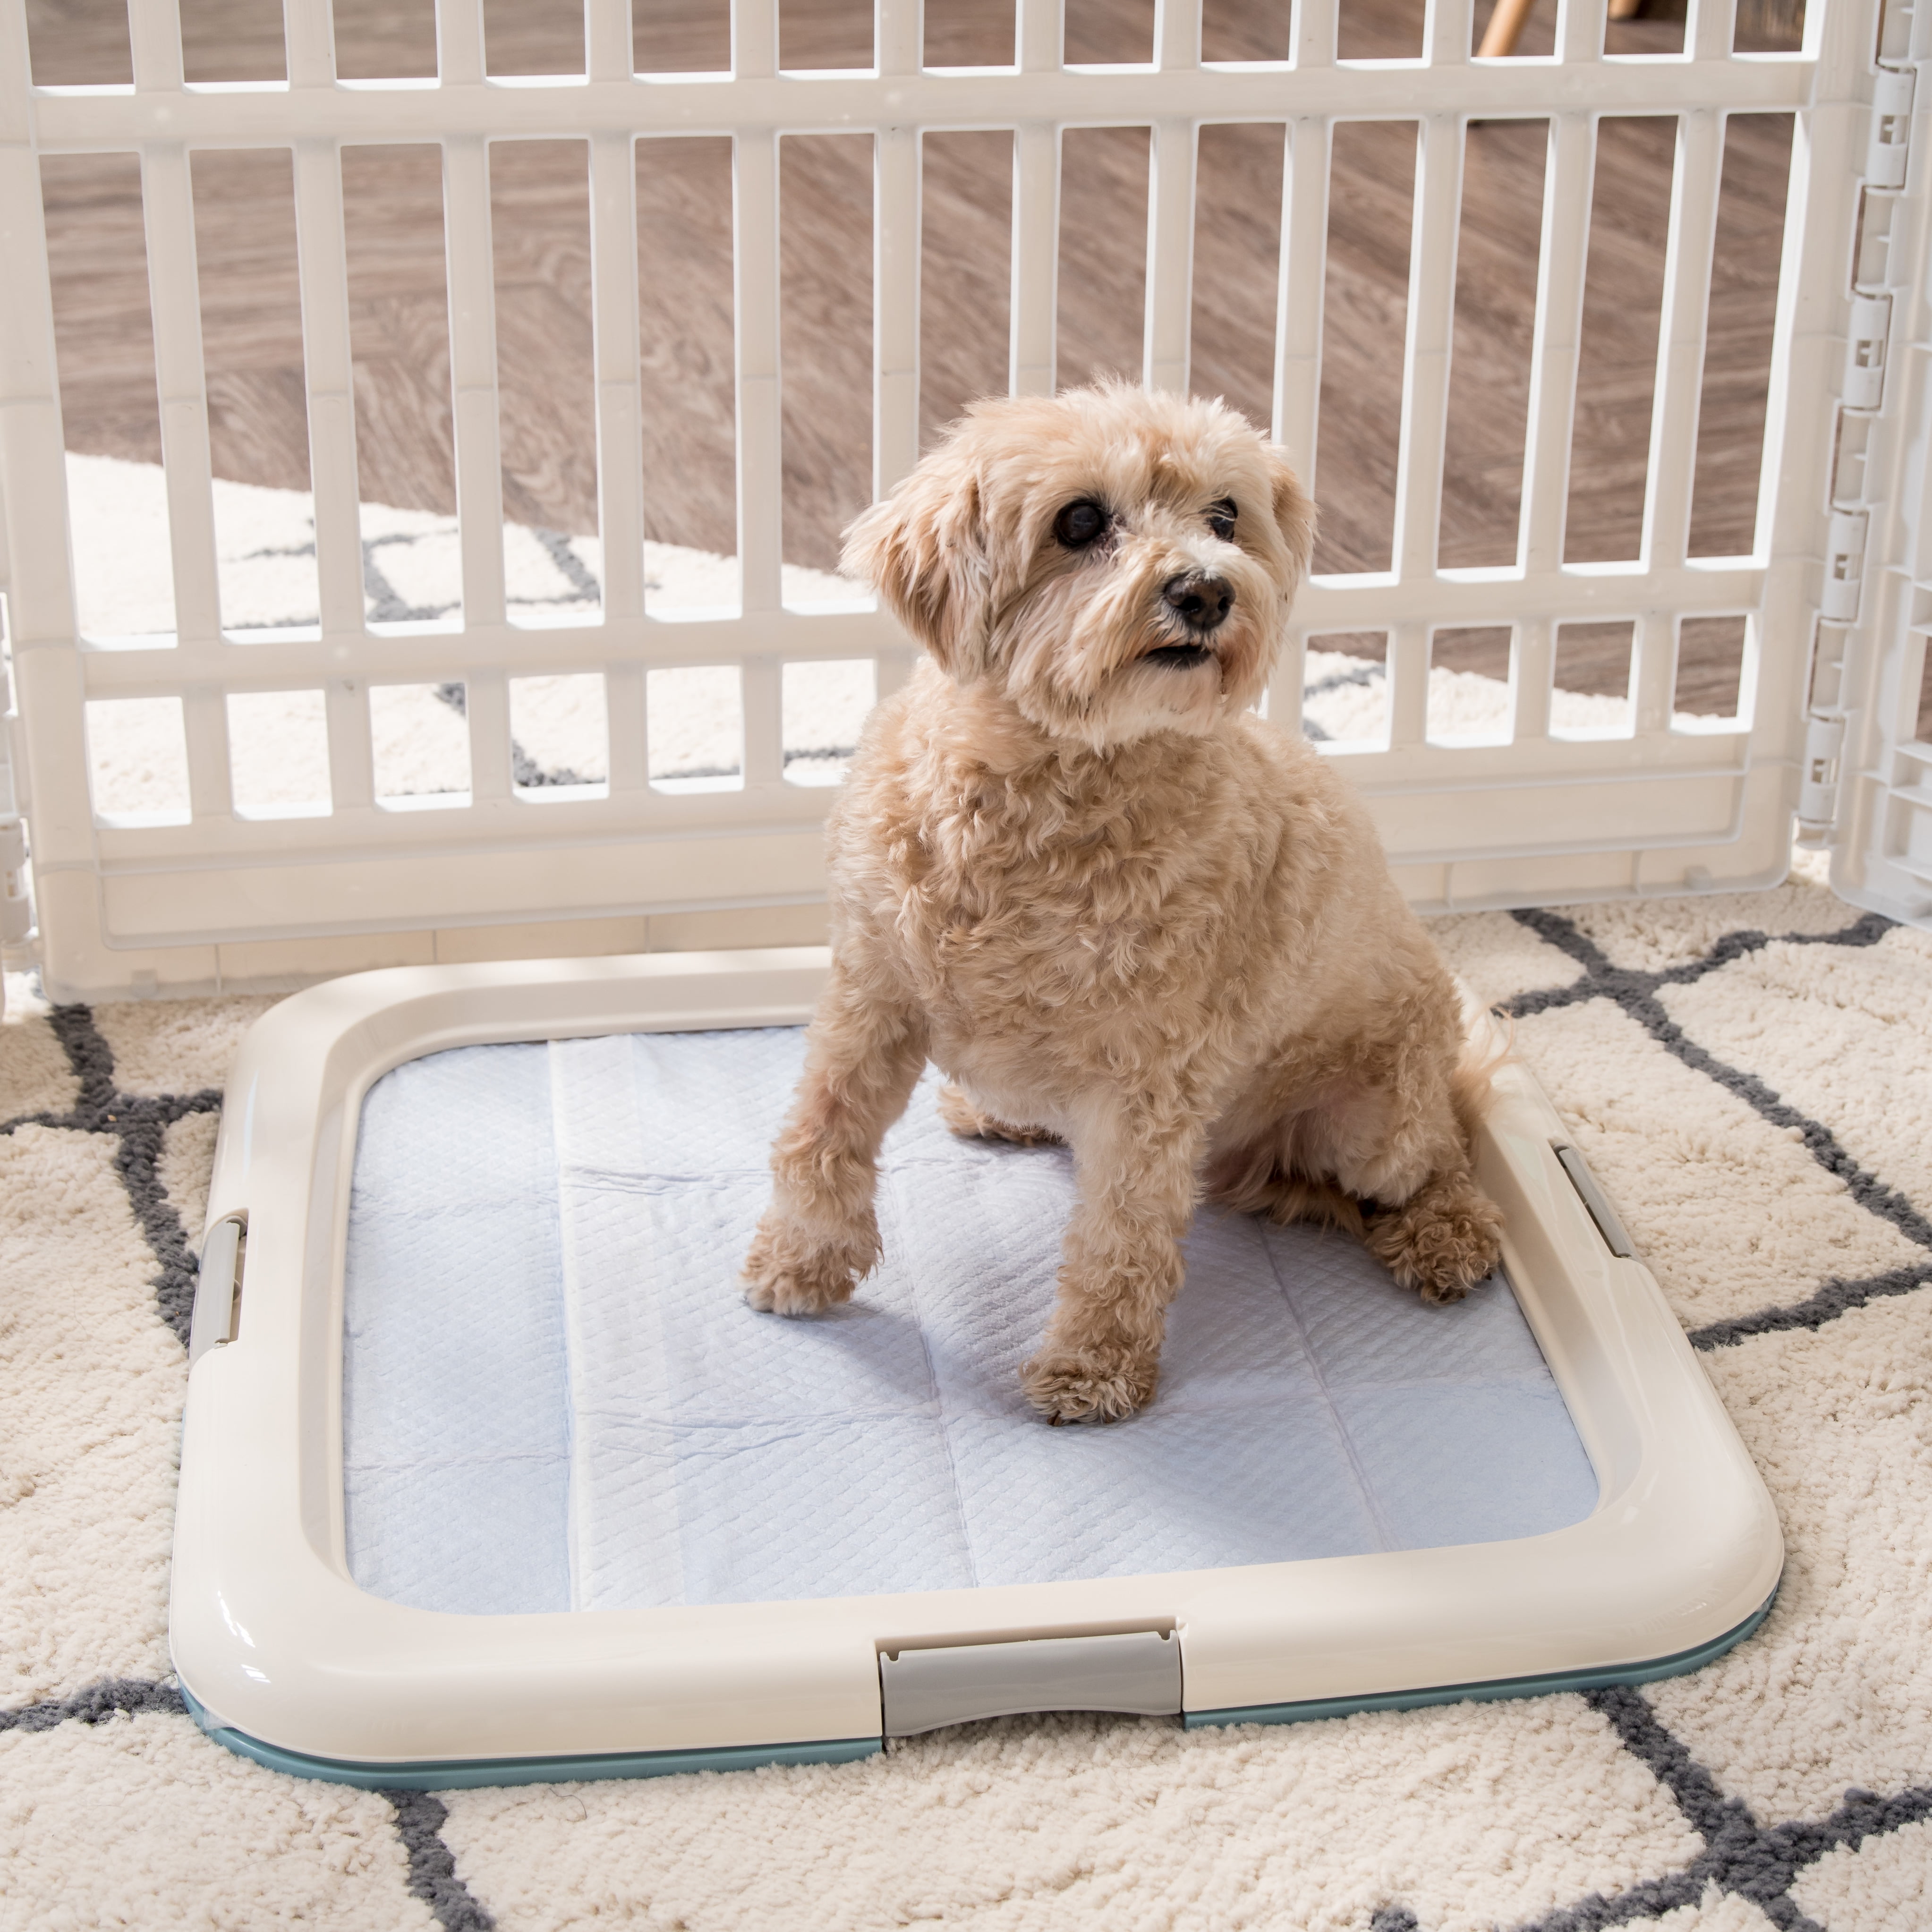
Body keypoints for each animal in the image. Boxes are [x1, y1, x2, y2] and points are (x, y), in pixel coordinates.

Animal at [741, 384, 1506, 1430]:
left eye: (1224, 517)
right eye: (1078, 521)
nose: (1207, 592)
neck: (1047, 787)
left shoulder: (1148, 1083)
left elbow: (1120, 1234)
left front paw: (1091, 1368)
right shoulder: (872, 993)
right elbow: (820, 1133)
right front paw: (800, 1261)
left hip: (1377, 1118)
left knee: (1439, 1158)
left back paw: (1446, 1237)